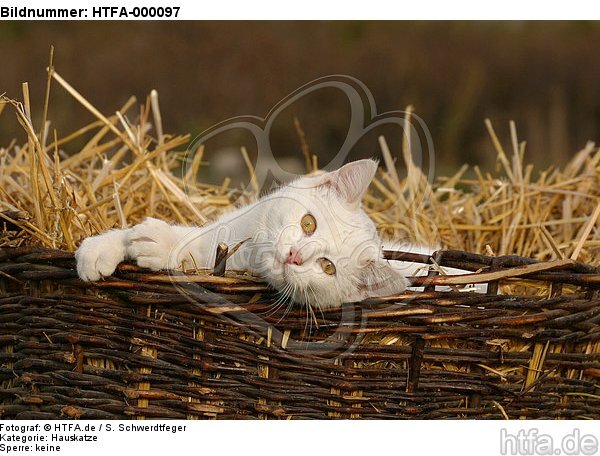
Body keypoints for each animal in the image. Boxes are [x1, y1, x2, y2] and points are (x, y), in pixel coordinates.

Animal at [74, 159, 468, 310]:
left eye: (327, 267)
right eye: (308, 223)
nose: (294, 255)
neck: (247, 257)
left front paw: (161, 246)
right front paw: (100, 248)